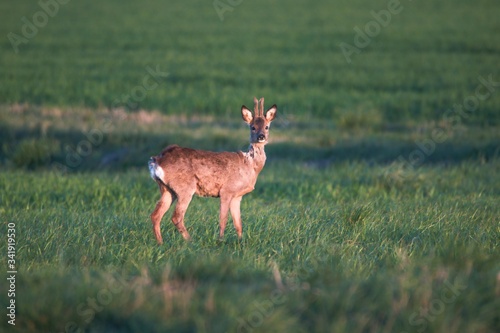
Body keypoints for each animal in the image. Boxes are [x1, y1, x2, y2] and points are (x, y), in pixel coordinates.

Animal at [148, 97, 278, 243]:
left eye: (267, 127)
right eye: (253, 127)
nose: (261, 137)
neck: (249, 166)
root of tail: (157, 160)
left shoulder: (237, 196)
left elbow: (238, 223)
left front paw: (241, 241)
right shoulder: (227, 190)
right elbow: (223, 219)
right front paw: (220, 240)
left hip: (167, 189)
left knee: (156, 215)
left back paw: (161, 243)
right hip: (185, 188)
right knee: (176, 217)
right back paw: (190, 241)